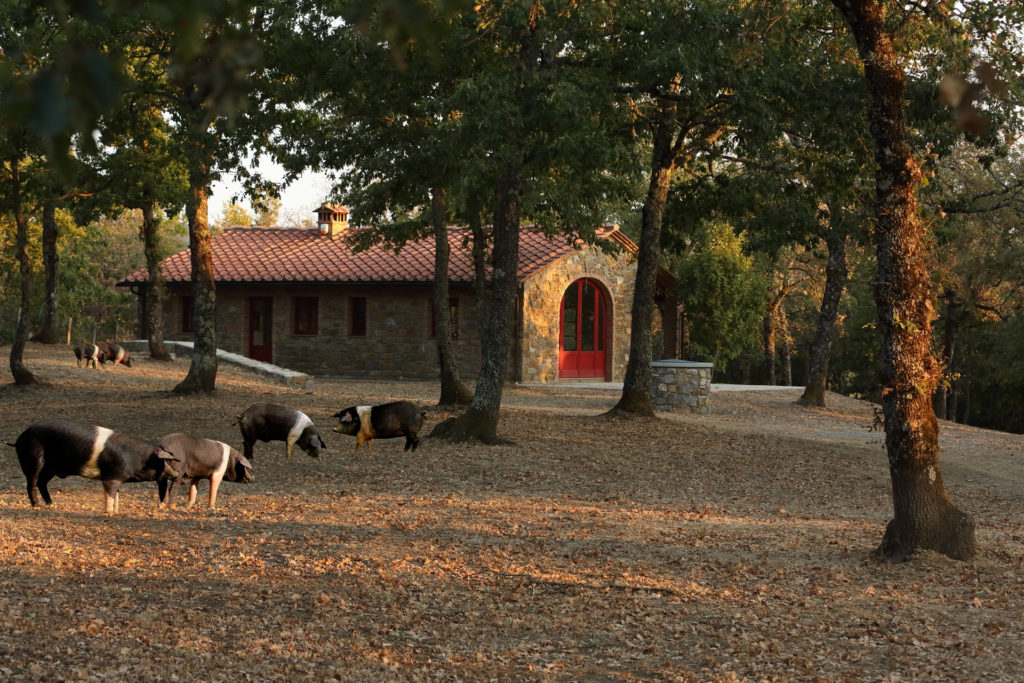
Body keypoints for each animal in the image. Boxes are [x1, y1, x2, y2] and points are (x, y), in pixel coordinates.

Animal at [12, 419, 180, 516]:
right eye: (165, 462)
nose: (177, 473)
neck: (137, 460)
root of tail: (19, 438)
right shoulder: (111, 477)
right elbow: (110, 494)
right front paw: (110, 512)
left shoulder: (115, 476)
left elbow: (116, 495)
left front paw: (117, 511)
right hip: (33, 458)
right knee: (31, 483)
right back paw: (36, 507)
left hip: (51, 467)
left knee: (42, 482)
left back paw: (51, 504)